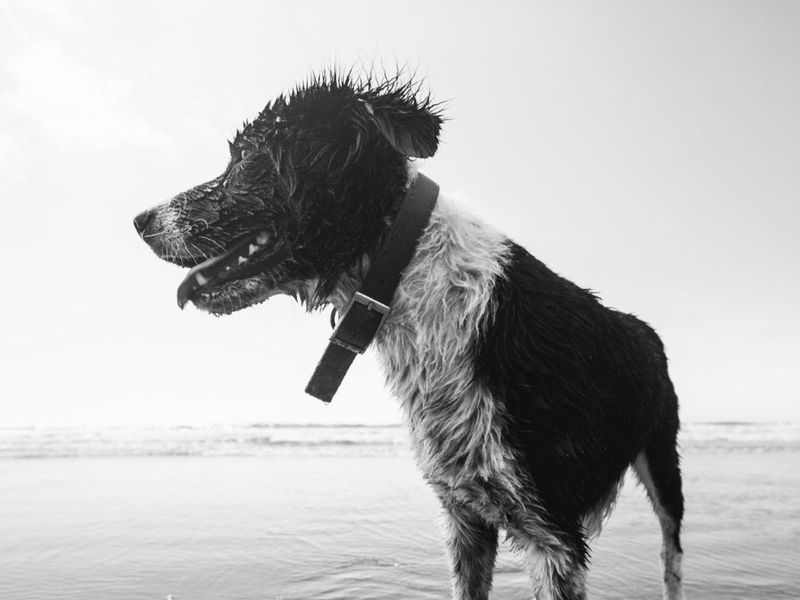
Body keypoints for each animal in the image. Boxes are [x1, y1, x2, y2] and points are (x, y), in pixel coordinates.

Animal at [134, 71, 684, 600]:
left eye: (245, 157)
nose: (139, 220)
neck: (403, 269)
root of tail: (646, 328)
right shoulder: (463, 516)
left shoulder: (553, 535)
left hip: (662, 457)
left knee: (671, 551)